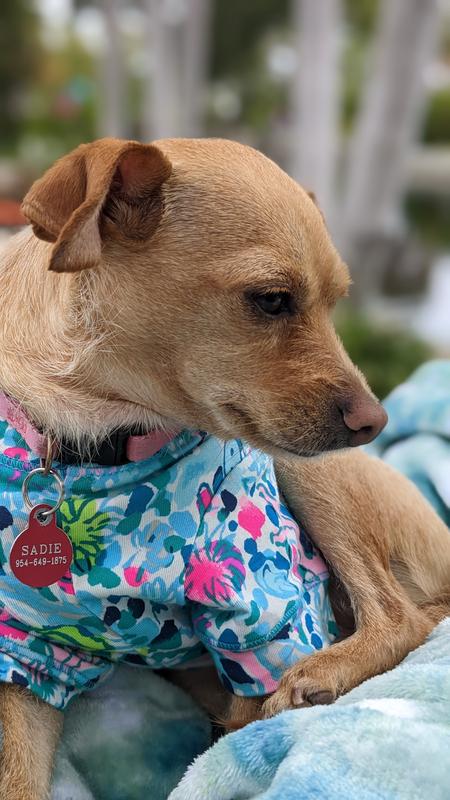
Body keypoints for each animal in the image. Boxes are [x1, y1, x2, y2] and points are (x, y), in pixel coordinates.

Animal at [0, 134, 448, 796]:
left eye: (336, 304)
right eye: (271, 300)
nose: (378, 421)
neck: (101, 442)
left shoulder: (268, 612)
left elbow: (240, 723)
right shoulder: (31, 655)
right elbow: (17, 774)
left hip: (304, 470)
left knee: (402, 618)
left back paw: (322, 674)